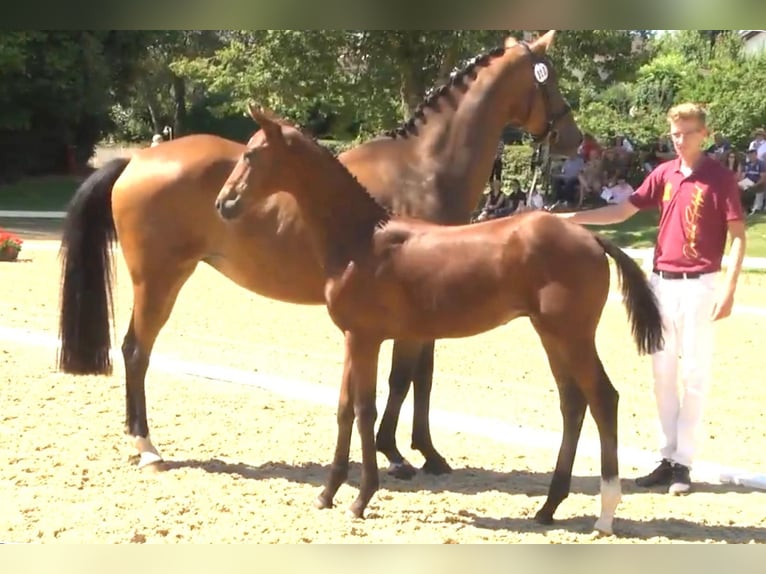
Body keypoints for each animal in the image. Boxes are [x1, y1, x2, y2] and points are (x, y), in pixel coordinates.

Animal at [57, 33, 580, 480]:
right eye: (548, 77)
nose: (574, 138)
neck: (423, 169)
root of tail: (137, 159)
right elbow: (402, 378)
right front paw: (396, 454)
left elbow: (422, 378)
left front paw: (425, 452)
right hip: (159, 280)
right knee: (135, 350)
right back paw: (147, 447)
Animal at [216, 109, 664, 540]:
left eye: (251, 155)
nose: (224, 203)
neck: (361, 239)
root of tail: (591, 238)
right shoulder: (351, 337)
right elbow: (344, 408)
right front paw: (327, 493)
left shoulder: (366, 338)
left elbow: (365, 409)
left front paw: (361, 498)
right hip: (551, 335)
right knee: (573, 404)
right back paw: (548, 508)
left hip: (572, 335)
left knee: (603, 399)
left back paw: (605, 513)